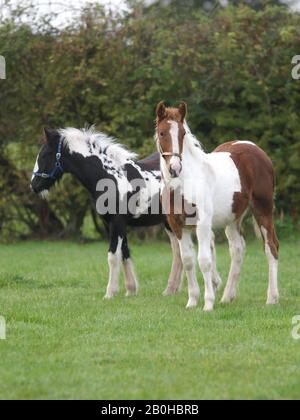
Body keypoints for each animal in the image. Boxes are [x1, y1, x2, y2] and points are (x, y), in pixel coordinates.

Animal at [32, 128, 183, 298]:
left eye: (45, 155)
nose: (34, 185)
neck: (109, 177)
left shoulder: (117, 222)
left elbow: (113, 255)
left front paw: (110, 293)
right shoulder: (112, 224)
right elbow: (124, 253)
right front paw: (130, 290)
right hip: (169, 223)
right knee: (178, 252)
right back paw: (171, 290)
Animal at [156, 101, 280, 312]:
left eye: (182, 133)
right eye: (162, 132)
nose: (175, 168)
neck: (185, 182)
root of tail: (256, 149)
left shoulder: (203, 223)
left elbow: (204, 261)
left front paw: (208, 303)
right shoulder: (178, 226)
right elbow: (188, 261)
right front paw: (192, 301)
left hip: (263, 210)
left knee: (271, 247)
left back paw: (272, 298)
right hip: (233, 219)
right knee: (237, 249)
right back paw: (227, 297)